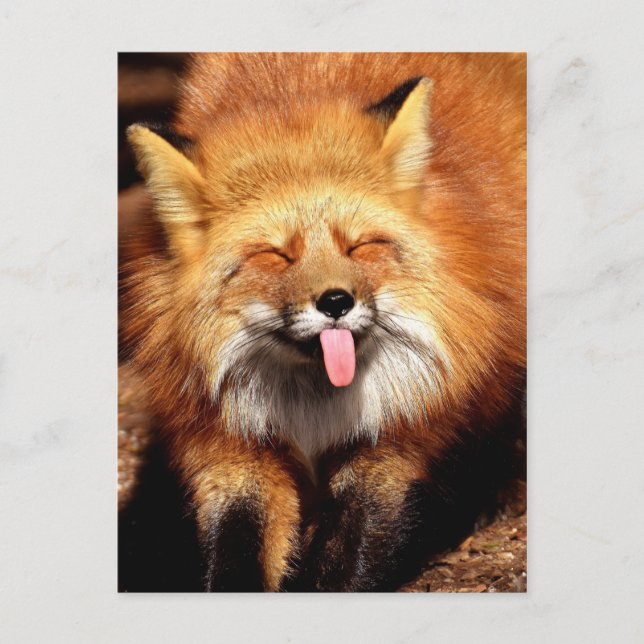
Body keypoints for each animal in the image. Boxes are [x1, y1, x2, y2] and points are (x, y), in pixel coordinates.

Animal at [120, 52, 526, 592]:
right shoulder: (230, 446)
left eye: (359, 246)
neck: (313, 410)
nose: (336, 301)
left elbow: (349, 553)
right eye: (276, 255)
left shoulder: (394, 438)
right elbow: (238, 546)